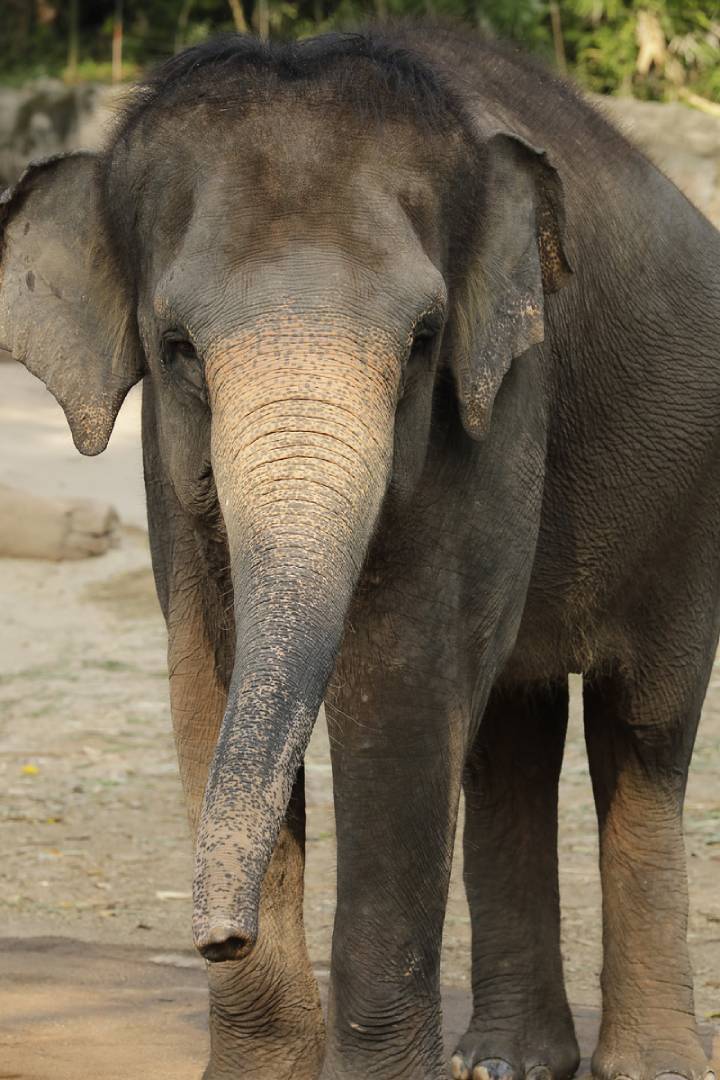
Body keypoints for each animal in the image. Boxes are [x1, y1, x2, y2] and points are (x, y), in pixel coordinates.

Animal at [1, 24, 718, 1080]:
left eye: (424, 337)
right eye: (175, 347)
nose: (217, 933)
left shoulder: (503, 398)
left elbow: (405, 681)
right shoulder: (168, 470)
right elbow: (205, 674)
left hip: (692, 507)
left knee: (645, 731)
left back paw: (649, 1063)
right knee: (510, 734)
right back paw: (501, 1062)